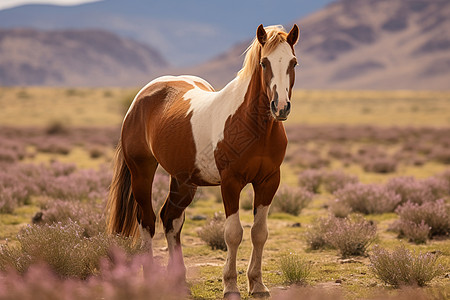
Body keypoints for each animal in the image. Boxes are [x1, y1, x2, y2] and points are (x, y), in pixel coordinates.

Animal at [107, 23, 300, 298]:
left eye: (293, 62)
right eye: (264, 63)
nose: (280, 107)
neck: (253, 127)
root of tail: (141, 98)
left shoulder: (268, 181)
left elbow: (259, 233)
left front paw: (258, 285)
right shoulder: (231, 183)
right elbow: (233, 233)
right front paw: (230, 286)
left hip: (183, 181)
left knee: (171, 220)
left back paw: (180, 282)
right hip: (142, 172)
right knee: (148, 221)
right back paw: (152, 279)